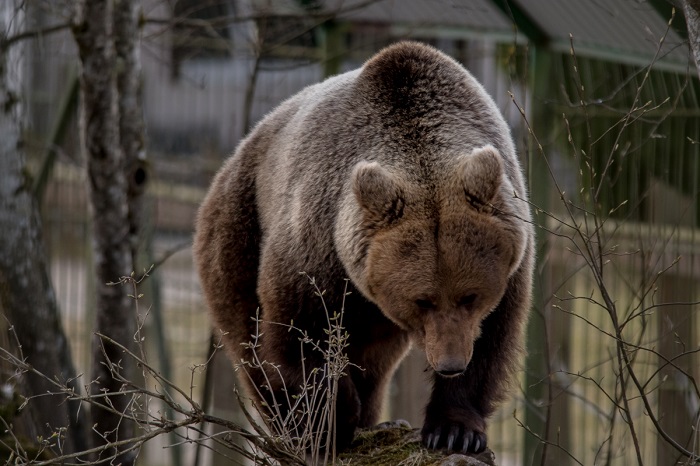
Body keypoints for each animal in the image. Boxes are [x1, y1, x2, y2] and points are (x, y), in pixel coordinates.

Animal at [194, 41, 532, 456]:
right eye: (423, 300)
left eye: (470, 296)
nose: (450, 363)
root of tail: (235, 155)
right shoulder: (315, 246)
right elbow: (298, 336)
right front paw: (330, 423)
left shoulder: (513, 260)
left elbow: (493, 337)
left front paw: (455, 430)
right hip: (238, 228)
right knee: (249, 339)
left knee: (374, 361)